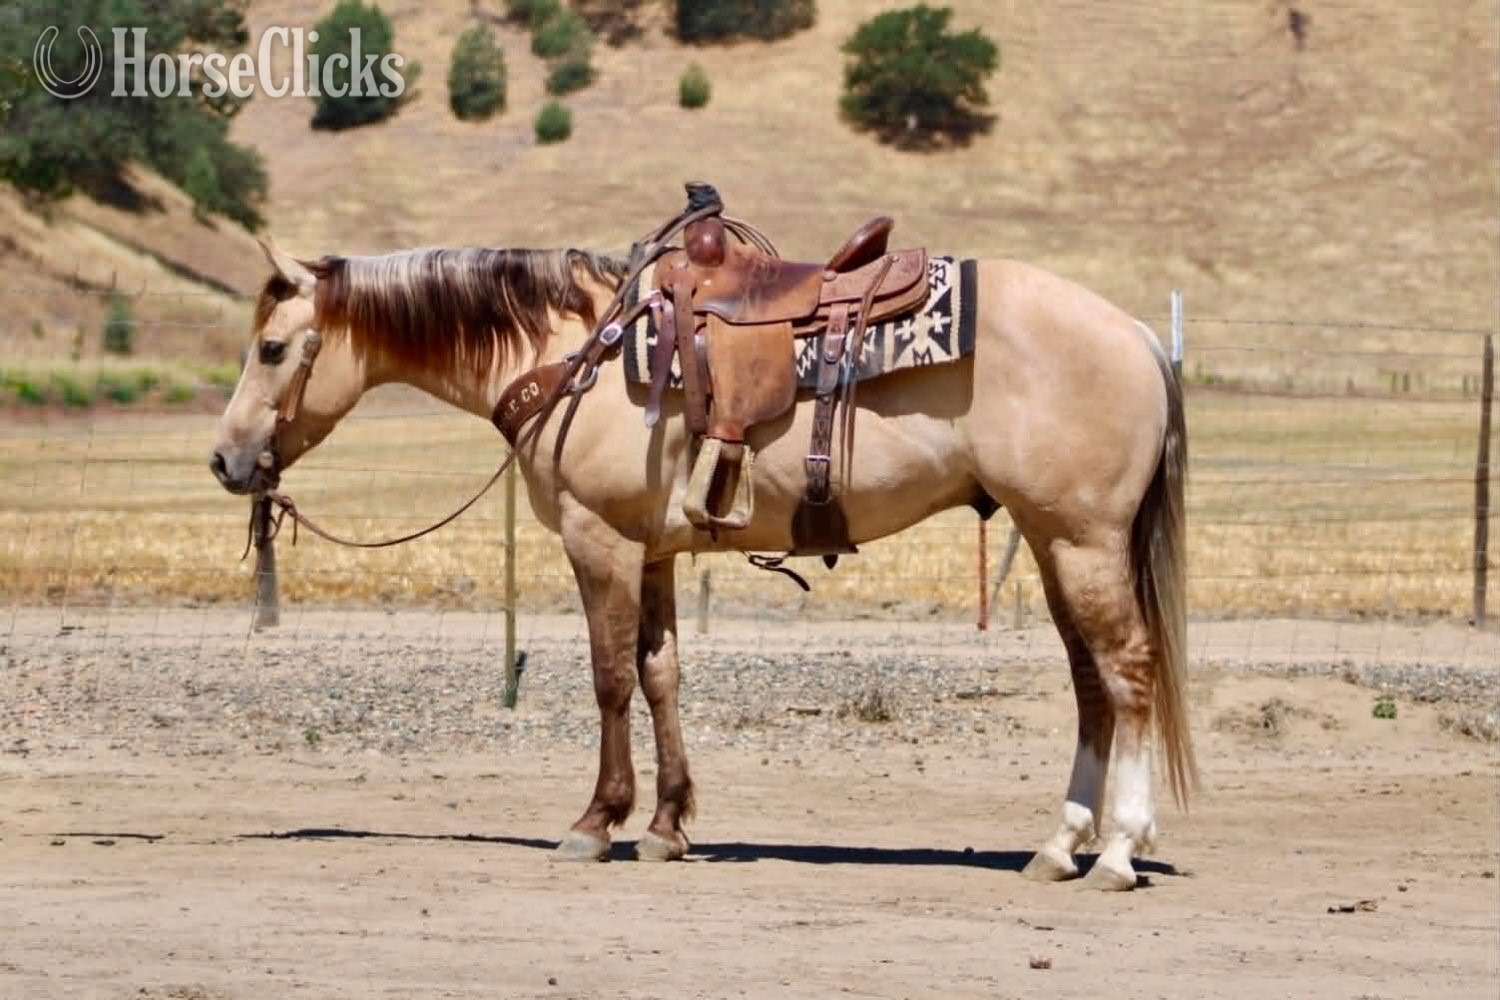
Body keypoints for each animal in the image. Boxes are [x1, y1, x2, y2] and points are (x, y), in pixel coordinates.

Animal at [211, 227, 1197, 891]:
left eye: (271, 348)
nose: (225, 460)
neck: (575, 353)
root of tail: (1139, 336)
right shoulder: (650, 552)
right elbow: (661, 674)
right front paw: (667, 825)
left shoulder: (598, 540)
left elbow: (610, 677)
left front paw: (596, 822)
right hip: (1054, 542)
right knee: (1089, 682)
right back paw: (1059, 846)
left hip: (1081, 541)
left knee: (1127, 671)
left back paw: (1118, 850)